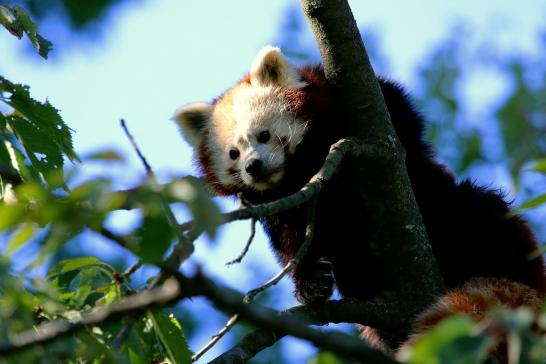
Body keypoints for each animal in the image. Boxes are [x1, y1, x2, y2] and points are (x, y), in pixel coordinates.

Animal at [171, 46, 544, 362]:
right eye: (234, 153)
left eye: (263, 135)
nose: (253, 167)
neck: (303, 169)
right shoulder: (285, 205)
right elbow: (294, 244)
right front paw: (310, 283)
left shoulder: (357, 100)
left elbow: (403, 123)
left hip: (462, 210)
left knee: (481, 210)